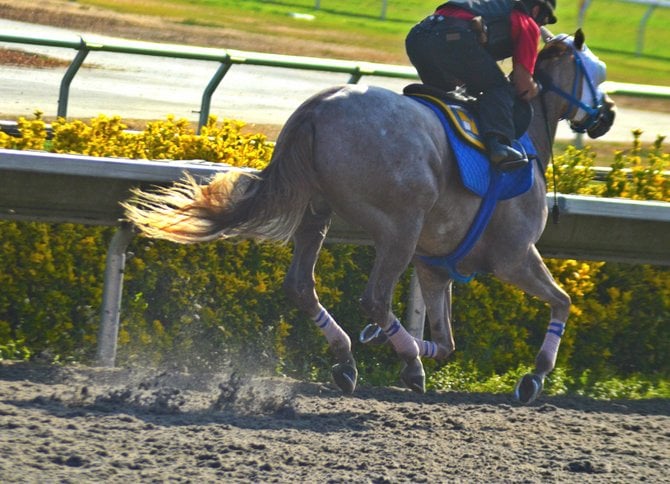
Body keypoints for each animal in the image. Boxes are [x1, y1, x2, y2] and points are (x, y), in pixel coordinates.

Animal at [123, 28, 616, 402]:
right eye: (598, 74)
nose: (607, 115)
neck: (525, 134)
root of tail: (320, 105)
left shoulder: (435, 265)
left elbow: (448, 343)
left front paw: (384, 340)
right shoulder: (513, 256)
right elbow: (562, 301)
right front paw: (534, 375)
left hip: (318, 212)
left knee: (302, 286)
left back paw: (348, 356)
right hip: (401, 224)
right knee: (374, 296)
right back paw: (405, 361)